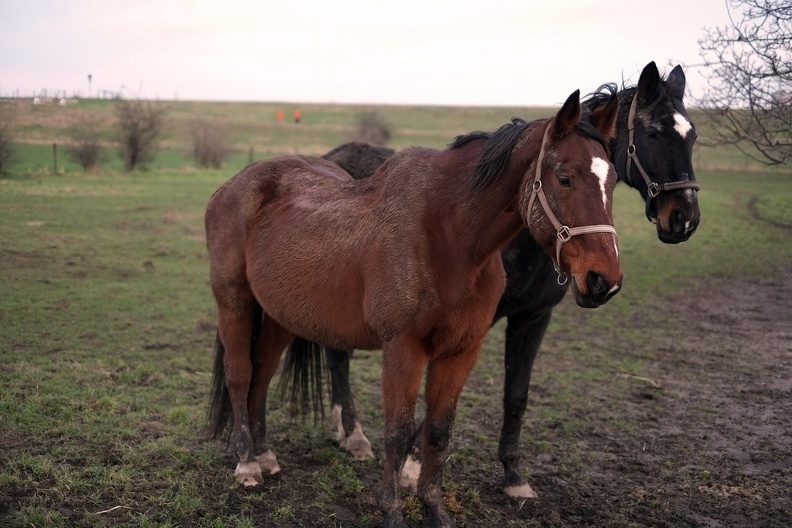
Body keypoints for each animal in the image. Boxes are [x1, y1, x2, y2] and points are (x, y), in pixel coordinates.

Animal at [207, 88, 620, 524]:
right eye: (565, 178)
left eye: (612, 179)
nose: (602, 280)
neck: (450, 238)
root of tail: (238, 183)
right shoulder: (403, 349)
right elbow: (399, 433)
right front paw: (392, 511)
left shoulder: (461, 351)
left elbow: (438, 432)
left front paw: (434, 508)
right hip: (234, 302)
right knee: (240, 375)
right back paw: (247, 463)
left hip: (279, 315)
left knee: (262, 374)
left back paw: (265, 454)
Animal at [278, 62, 700, 500]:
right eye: (654, 133)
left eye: (693, 136)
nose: (683, 216)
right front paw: (412, 468)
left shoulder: (533, 317)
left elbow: (516, 395)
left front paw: (513, 476)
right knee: (339, 358)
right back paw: (355, 434)